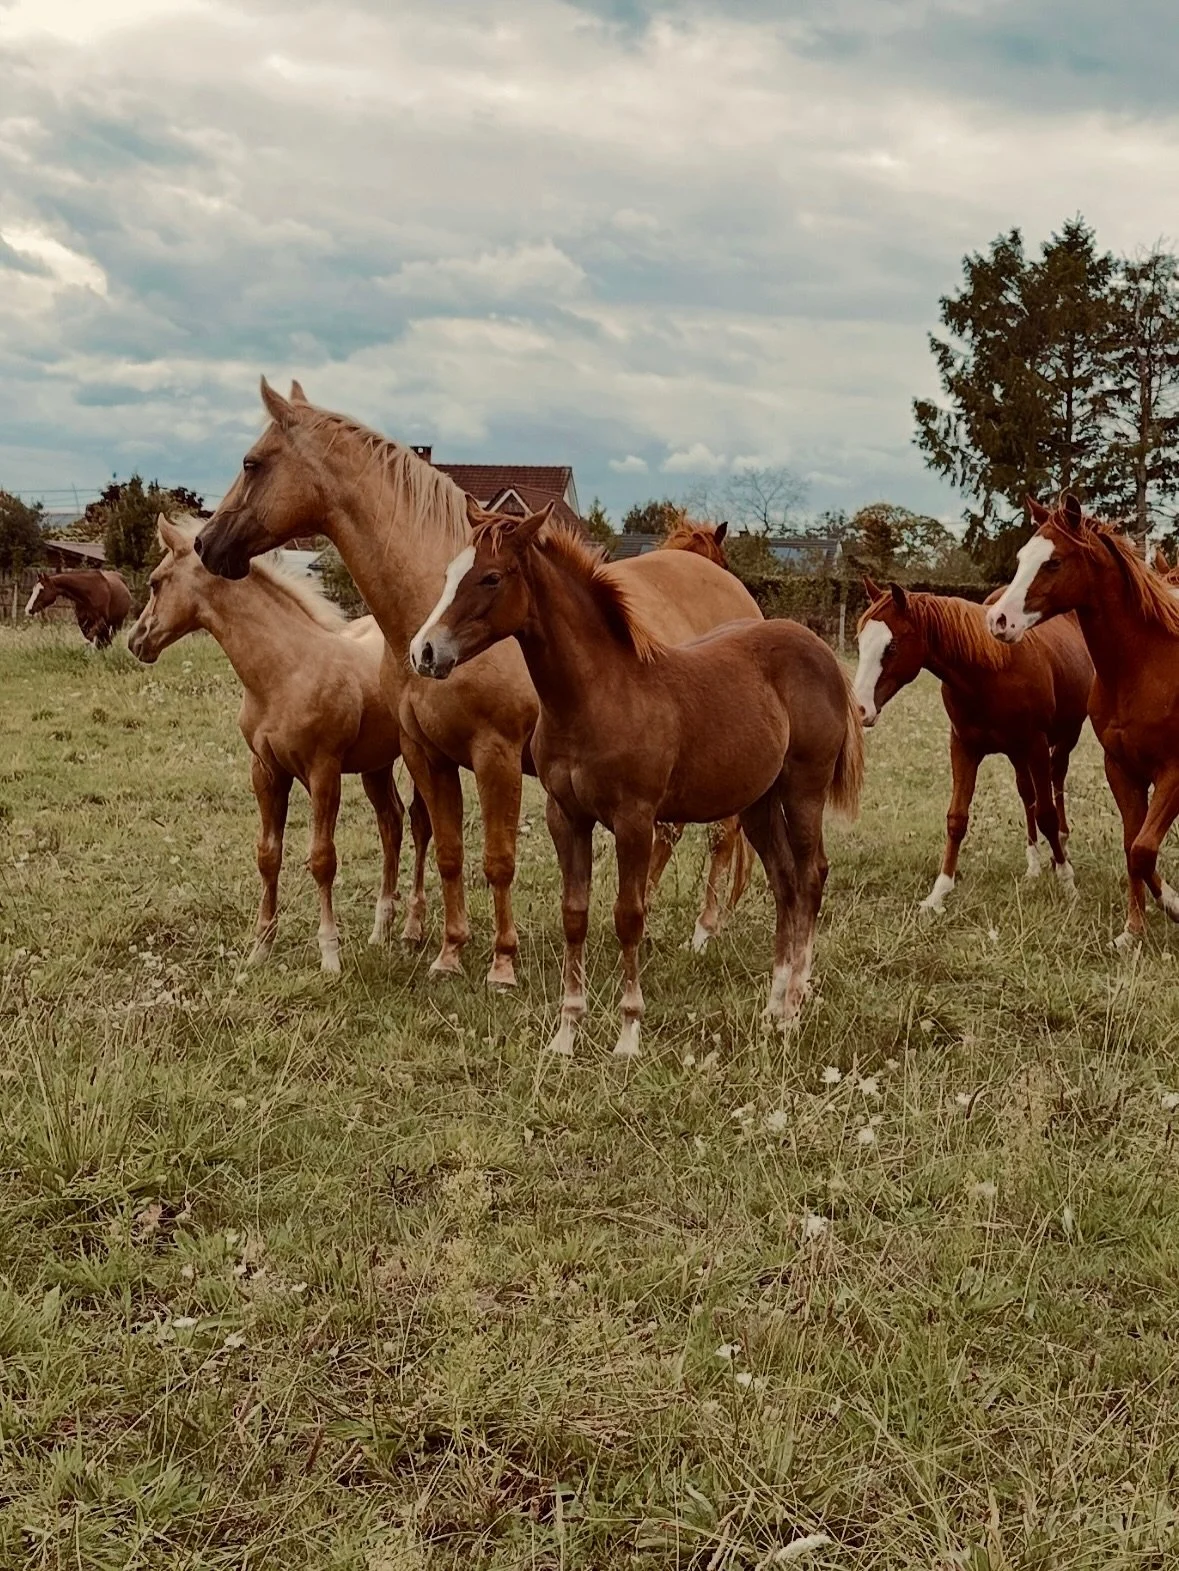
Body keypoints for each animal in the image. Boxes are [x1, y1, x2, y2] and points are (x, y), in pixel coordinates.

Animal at [128, 515, 431, 971]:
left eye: (155, 582)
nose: (136, 640)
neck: (285, 672)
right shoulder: (266, 771)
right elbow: (268, 856)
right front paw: (260, 949)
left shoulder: (323, 772)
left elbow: (322, 859)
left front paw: (329, 954)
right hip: (375, 766)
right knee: (391, 824)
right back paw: (381, 930)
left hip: (421, 758)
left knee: (421, 825)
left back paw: (412, 929)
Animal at [191, 378, 762, 986]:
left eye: (252, 463)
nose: (206, 544)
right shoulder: (425, 754)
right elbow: (448, 852)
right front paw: (449, 951)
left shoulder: (497, 754)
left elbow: (498, 859)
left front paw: (502, 964)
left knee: (721, 836)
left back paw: (702, 933)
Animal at [409, 501, 863, 1057]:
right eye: (450, 573)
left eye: (492, 577)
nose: (424, 652)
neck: (599, 694)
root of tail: (820, 651)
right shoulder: (566, 817)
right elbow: (575, 914)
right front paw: (567, 1032)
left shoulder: (634, 821)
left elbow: (629, 916)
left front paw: (628, 1033)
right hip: (759, 801)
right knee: (784, 882)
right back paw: (773, 1008)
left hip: (803, 793)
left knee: (811, 875)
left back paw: (795, 1007)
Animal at [853, 577, 1092, 912]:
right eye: (860, 642)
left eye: (892, 646)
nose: (860, 709)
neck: (989, 671)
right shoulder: (964, 747)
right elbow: (957, 818)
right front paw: (939, 893)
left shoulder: (1036, 744)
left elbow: (1046, 813)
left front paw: (1067, 882)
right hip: (1018, 754)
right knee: (1027, 796)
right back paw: (1033, 864)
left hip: (1065, 737)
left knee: (1056, 785)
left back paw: (1063, 846)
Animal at [988, 493, 1179, 947]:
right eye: (1022, 558)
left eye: (1054, 562)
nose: (998, 620)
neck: (1144, 666)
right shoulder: (1121, 770)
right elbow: (1134, 847)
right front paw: (1134, 929)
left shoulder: (1174, 773)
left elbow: (1143, 849)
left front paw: (1172, 906)